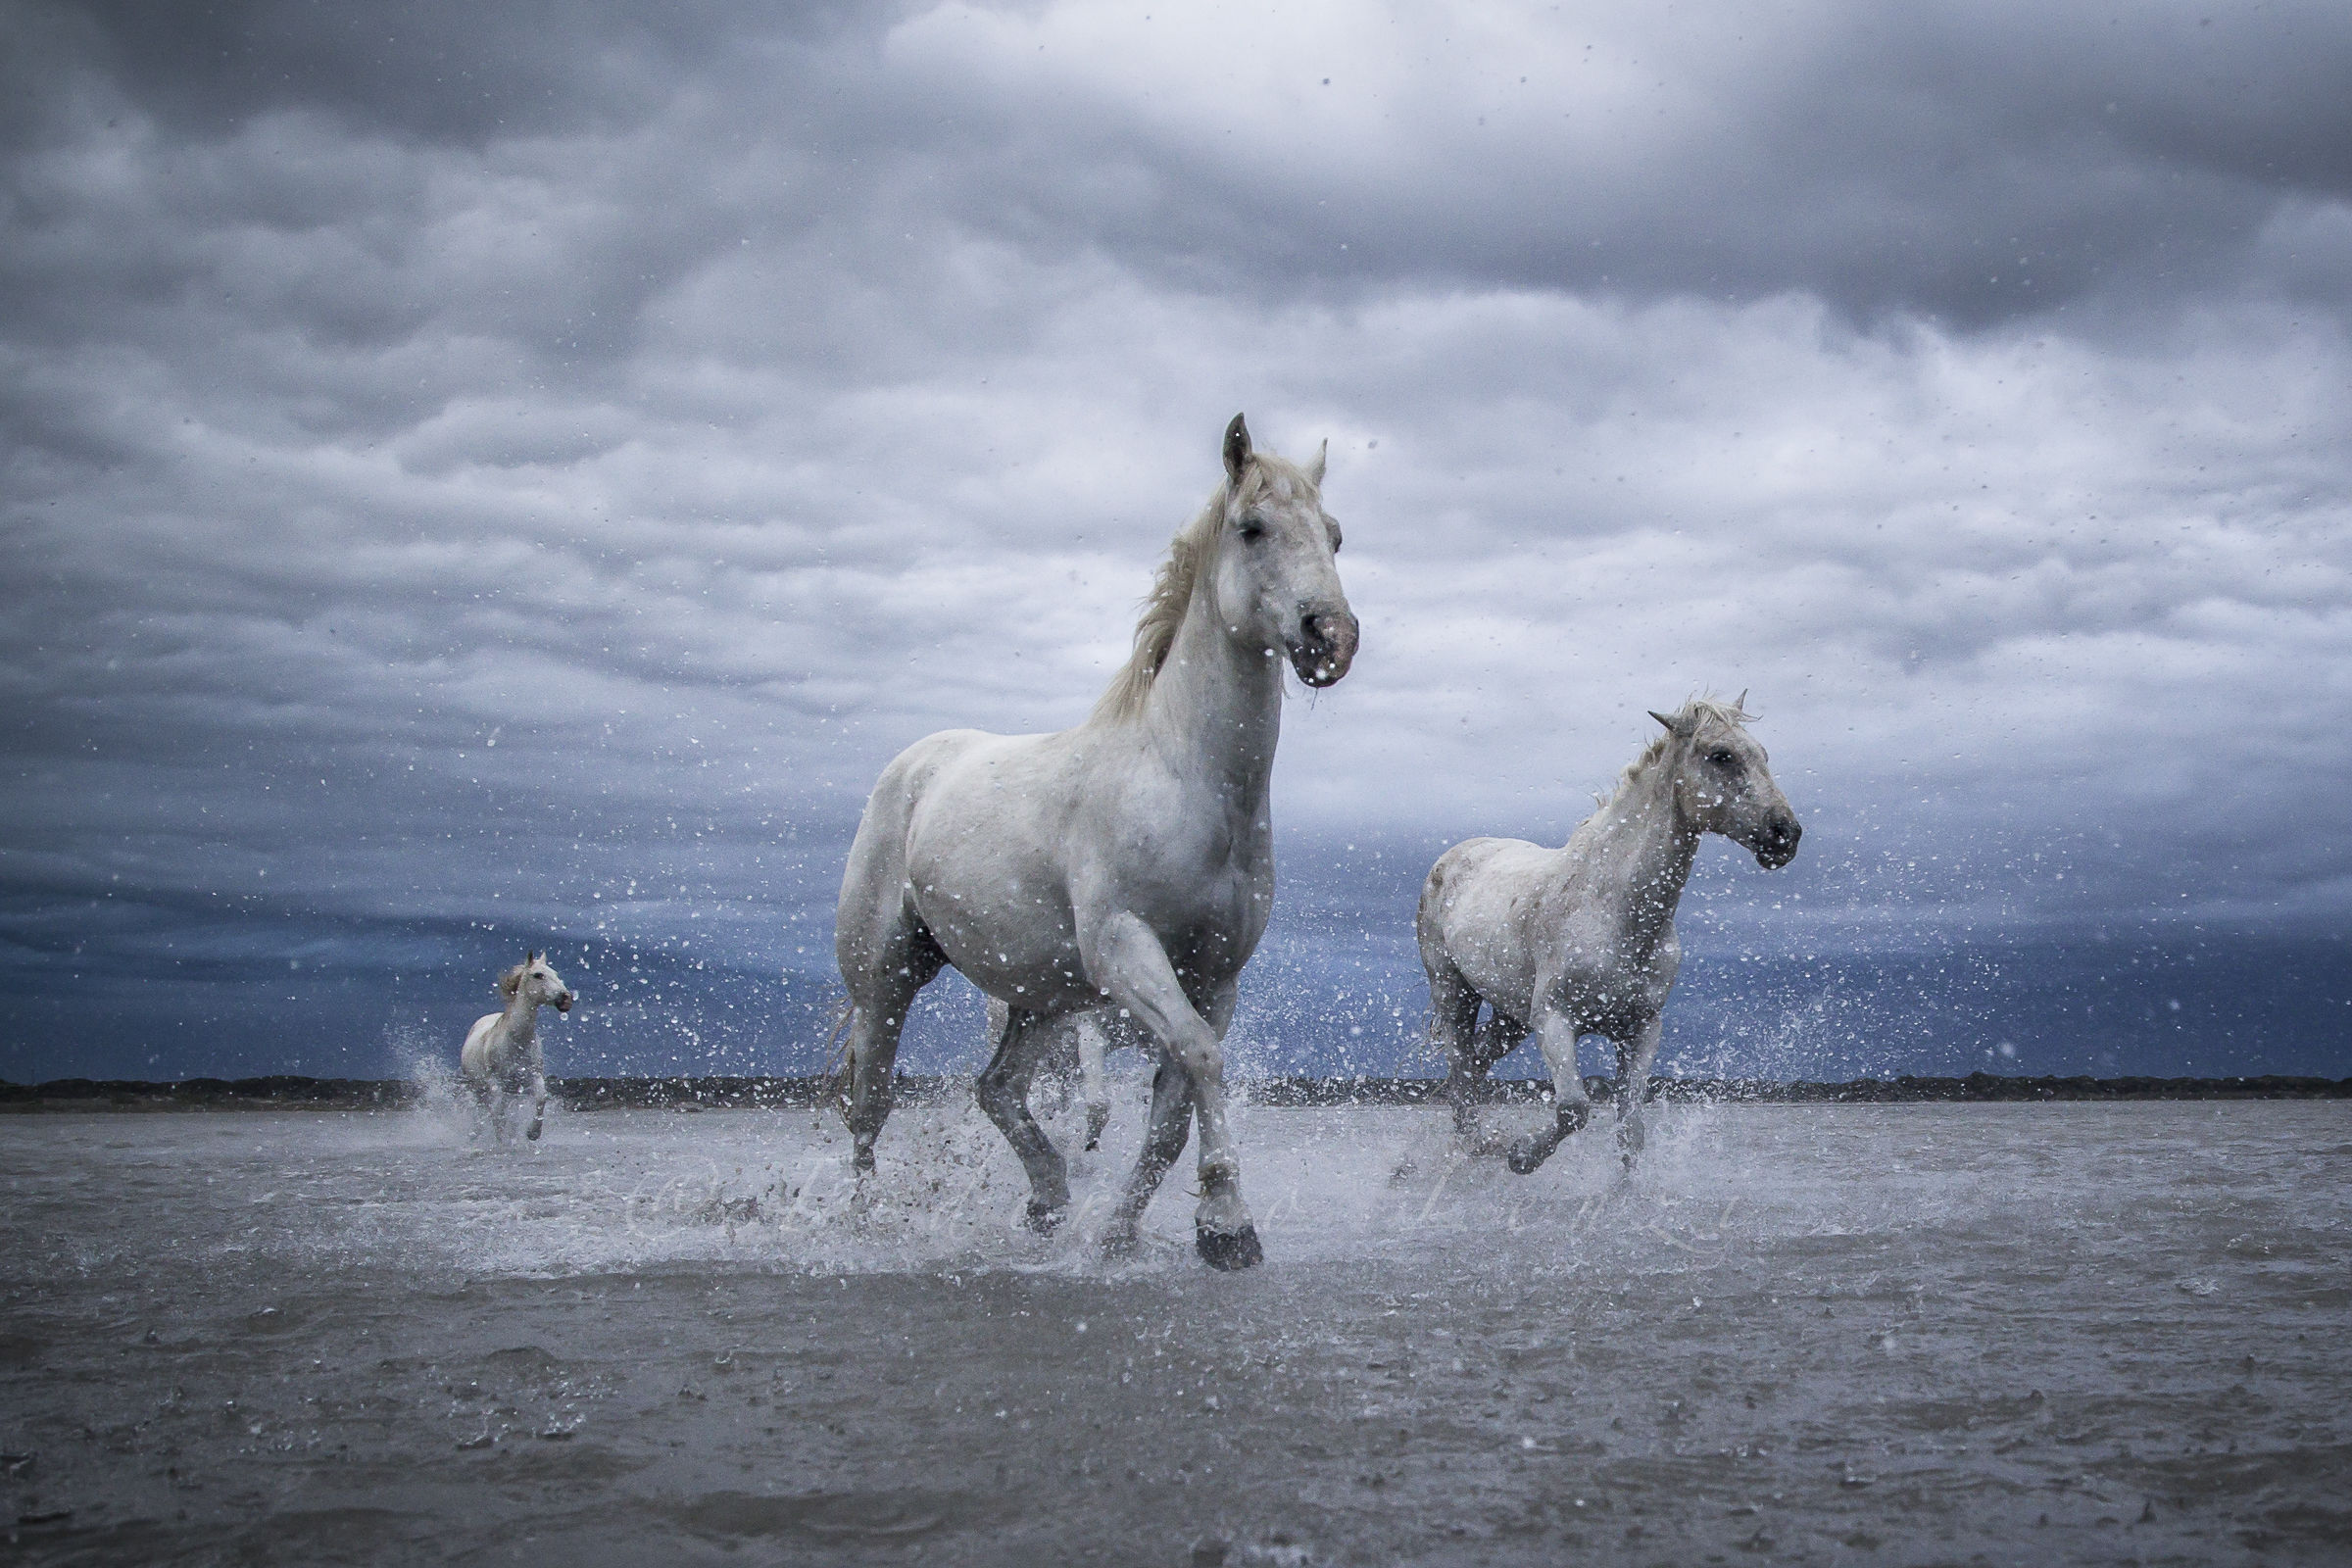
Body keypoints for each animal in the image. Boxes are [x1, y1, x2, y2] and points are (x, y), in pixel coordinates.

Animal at [459, 951, 575, 1143]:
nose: (566, 998)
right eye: (538, 975)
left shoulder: (532, 1077)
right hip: (479, 1088)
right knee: (483, 1110)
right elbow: (498, 1114)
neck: (516, 1042)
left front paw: (533, 1133)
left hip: (513, 1093)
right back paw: (475, 1134)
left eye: (556, 973)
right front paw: (502, 1142)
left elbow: (541, 1098)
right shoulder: (495, 1083)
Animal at [835, 413, 1357, 1269]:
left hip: (1038, 997)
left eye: (1335, 536)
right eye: (1252, 527)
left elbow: (1173, 1111)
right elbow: (1200, 1061)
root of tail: (914, 767)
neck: (1184, 779)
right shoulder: (1126, 947)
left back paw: (1049, 1199)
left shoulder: (1214, 977)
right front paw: (1229, 1222)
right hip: (887, 978)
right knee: (868, 1100)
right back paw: (864, 1222)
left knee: (997, 1089)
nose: (1332, 636)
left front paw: (1126, 1231)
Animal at [1416, 697, 1799, 1174]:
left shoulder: (1642, 1030)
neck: (1618, 913)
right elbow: (1574, 1109)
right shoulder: (1554, 1021)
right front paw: (1522, 1156)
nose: (1786, 834)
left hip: (1511, 1016)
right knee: (1461, 1072)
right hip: (1454, 993)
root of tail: (1452, 858)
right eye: (1721, 755)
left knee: (1476, 1062)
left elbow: (1630, 1131)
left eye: (1763, 754)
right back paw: (1479, 1146)